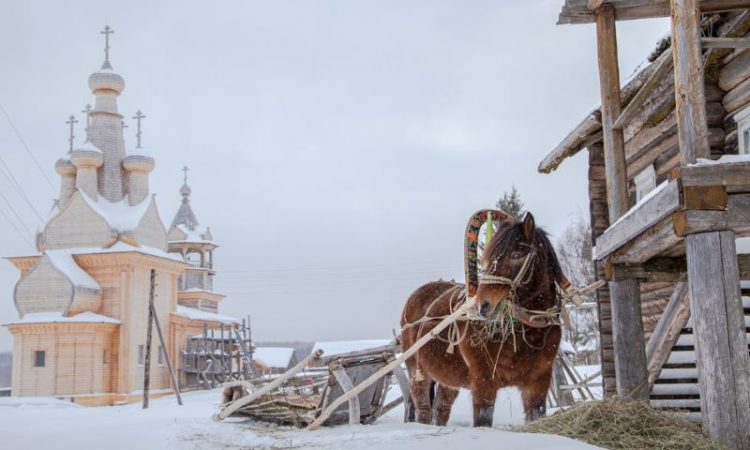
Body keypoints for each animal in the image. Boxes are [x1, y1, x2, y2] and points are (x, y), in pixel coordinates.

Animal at [402, 213, 568, 428]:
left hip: (448, 379)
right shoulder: (483, 381)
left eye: (516, 255)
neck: (526, 333)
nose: (483, 305)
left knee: (441, 408)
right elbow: (483, 418)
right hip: (417, 371)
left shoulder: (538, 383)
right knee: (423, 408)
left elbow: (535, 415)